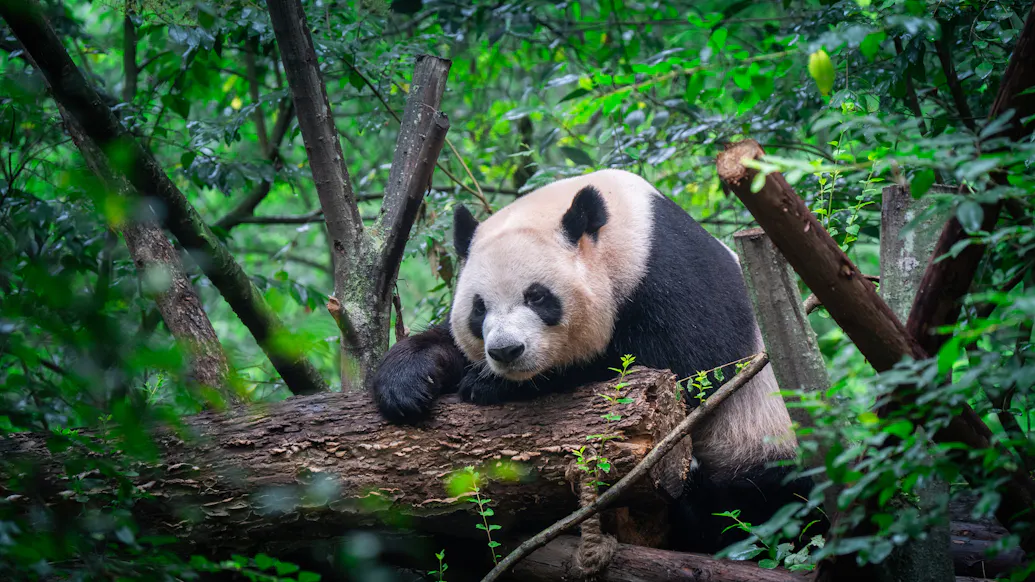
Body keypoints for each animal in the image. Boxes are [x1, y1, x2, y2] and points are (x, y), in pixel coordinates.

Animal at [371, 169, 814, 553]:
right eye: (479, 308)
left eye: (537, 296)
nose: (505, 352)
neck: (620, 234)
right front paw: (407, 382)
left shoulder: (672, 272)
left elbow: (688, 368)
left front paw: (492, 385)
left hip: (759, 442)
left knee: (758, 502)